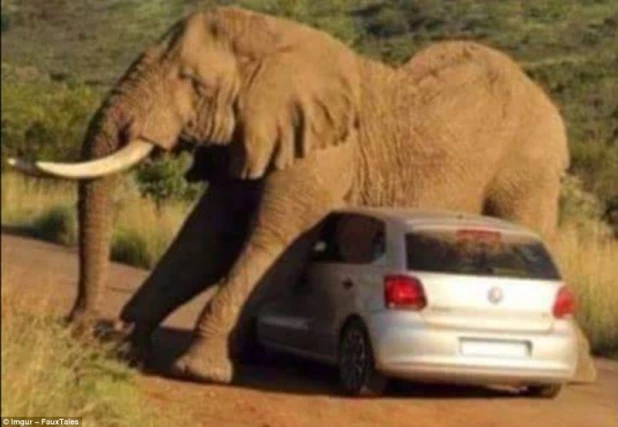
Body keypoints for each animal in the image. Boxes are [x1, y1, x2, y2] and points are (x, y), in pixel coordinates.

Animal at [8, 5, 592, 384]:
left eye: (193, 83)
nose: (78, 327)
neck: (275, 41)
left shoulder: (323, 153)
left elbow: (272, 243)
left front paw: (199, 371)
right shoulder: (255, 136)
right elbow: (204, 241)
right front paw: (127, 347)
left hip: (528, 166)